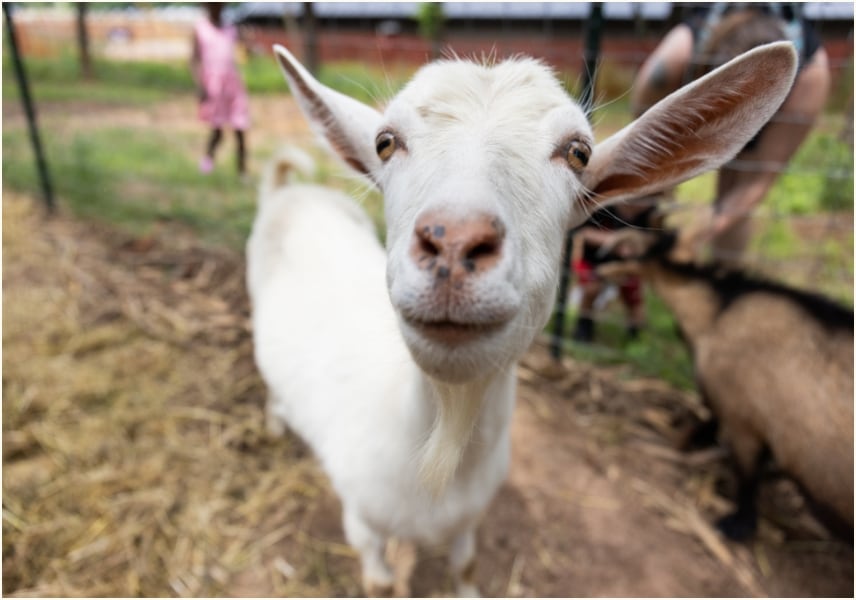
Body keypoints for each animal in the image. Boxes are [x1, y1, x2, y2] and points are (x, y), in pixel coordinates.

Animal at [246, 43, 799, 595]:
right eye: (385, 143)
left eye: (578, 153)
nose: (454, 241)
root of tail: (288, 190)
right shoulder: (361, 521)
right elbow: (380, 582)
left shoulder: (468, 518)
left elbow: (466, 566)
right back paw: (273, 423)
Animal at [597, 226, 854, 541]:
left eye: (629, 251)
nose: (597, 268)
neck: (717, 314)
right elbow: (709, 423)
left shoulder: (743, 419)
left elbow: (746, 477)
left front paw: (736, 525)